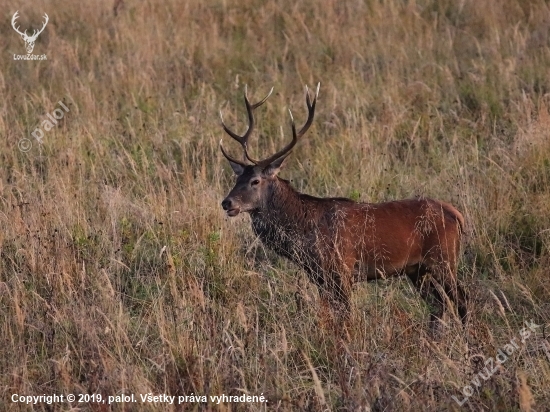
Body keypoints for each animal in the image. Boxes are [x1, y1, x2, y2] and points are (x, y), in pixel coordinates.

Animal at [220, 84, 470, 334]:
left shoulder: (343, 268)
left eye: (255, 181)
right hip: (417, 269)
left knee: (461, 299)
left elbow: (346, 316)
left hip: (443, 258)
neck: (304, 234)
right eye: (236, 179)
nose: (227, 203)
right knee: (438, 304)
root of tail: (456, 215)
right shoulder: (320, 276)